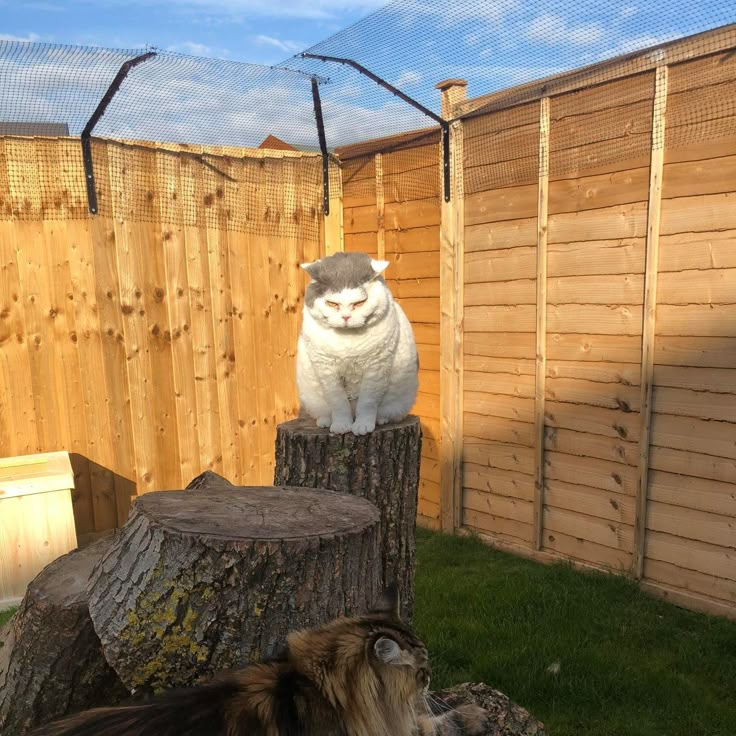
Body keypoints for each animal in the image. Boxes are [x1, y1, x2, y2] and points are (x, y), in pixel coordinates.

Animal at [296, 253, 416, 436]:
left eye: (359, 303)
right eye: (332, 304)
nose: (346, 317)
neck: (348, 340)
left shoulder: (376, 367)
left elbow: (367, 403)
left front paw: (363, 426)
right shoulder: (326, 369)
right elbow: (338, 402)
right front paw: (341, 426)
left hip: (399, 399)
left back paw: (380, 420)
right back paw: (325, 421)